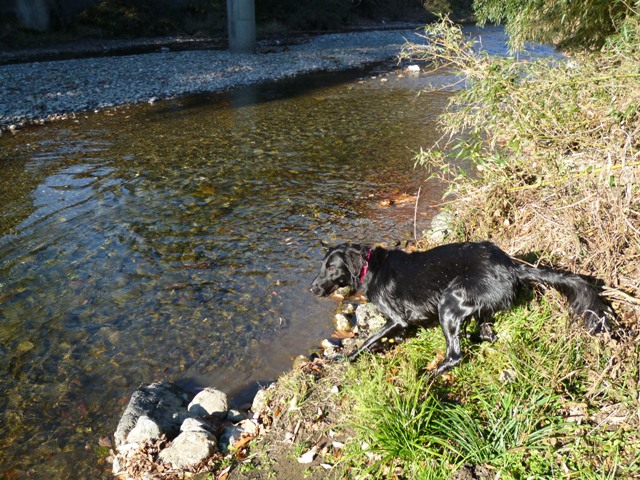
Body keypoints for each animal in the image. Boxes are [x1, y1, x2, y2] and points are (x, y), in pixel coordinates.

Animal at [310, 242, 608, 374]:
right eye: (322, 266)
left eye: (331, 268)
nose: (312, 289)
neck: (369, 266)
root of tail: (512, 266)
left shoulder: (396, 319)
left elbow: (367, 341)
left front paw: (345, 358)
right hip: (479, 310)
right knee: (486, 335)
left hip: (450, 302)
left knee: (455, 355)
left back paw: (429, 374)